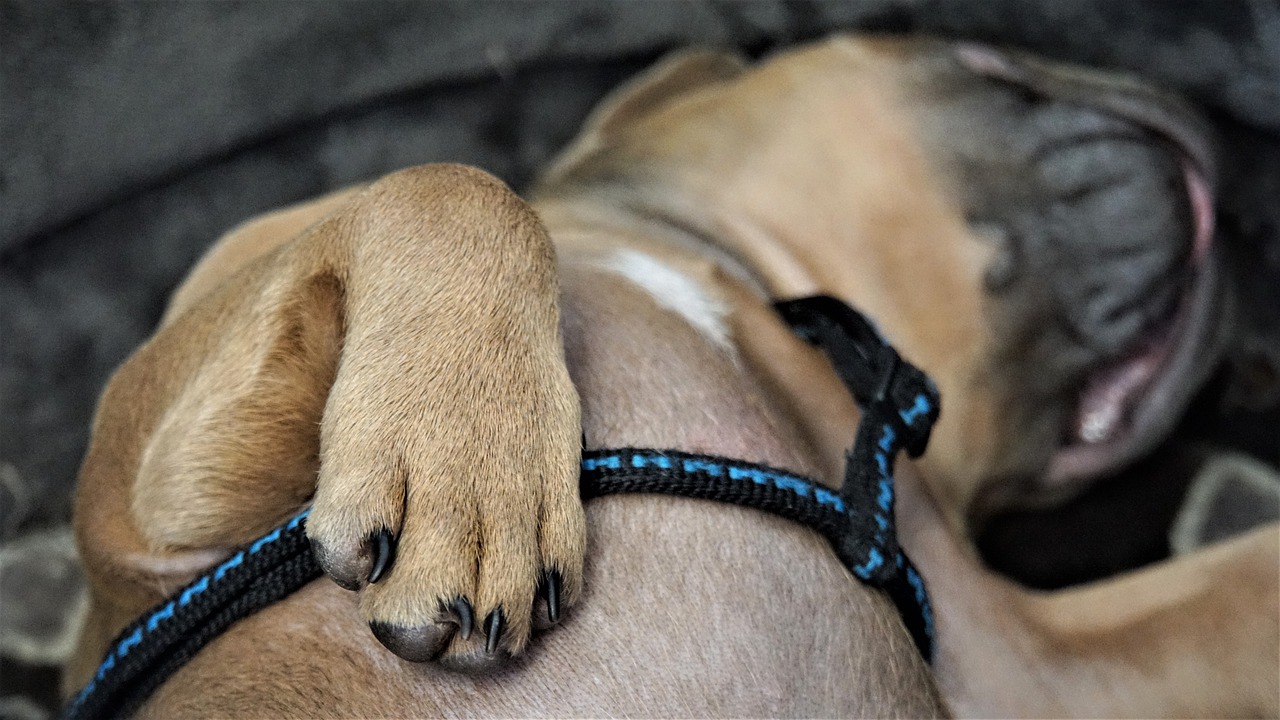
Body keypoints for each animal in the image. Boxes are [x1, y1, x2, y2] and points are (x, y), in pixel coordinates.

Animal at [70, 32, 1280, 712]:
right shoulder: (147, 518)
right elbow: (456, 186)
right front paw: (471, 468)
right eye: (986, 64)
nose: (1224, 152)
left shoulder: (1030, 667)